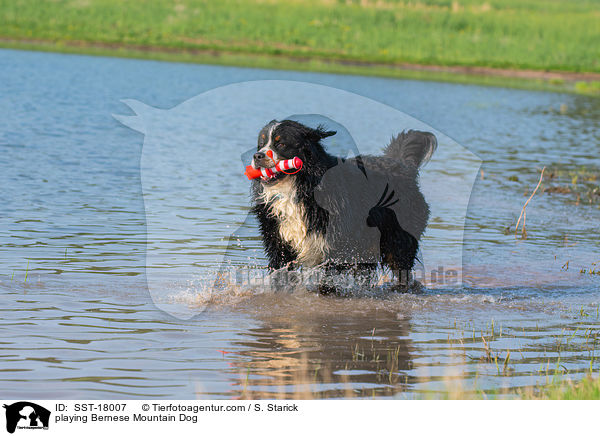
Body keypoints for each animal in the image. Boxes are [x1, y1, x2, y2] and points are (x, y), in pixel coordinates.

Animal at [251, 119, 438, 292]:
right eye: (260, 144)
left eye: (281, 144)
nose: (257, 156)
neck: (297, 187)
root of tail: (403, 166)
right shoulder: (278, 242)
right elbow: (281, 274)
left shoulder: (335, 242)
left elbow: (329, 277)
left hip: (397, 239)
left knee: (401, 267)